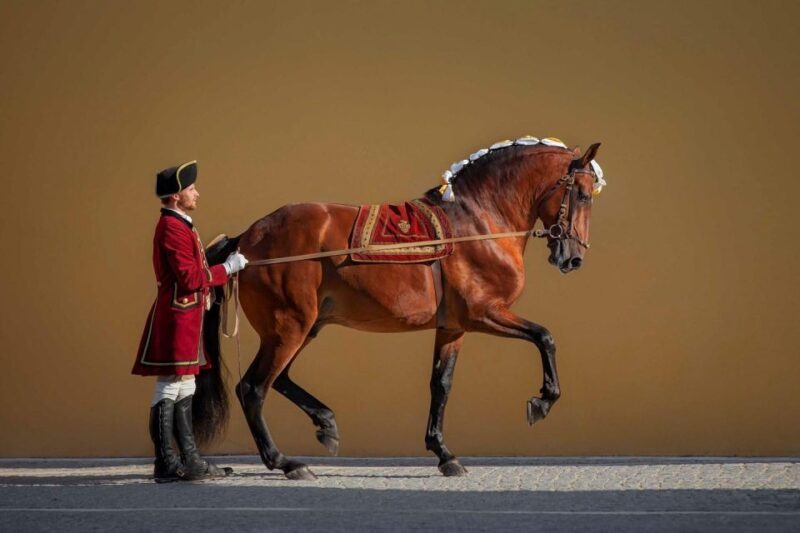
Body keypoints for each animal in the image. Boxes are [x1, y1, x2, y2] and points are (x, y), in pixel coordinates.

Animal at [194, 139, 602, 480]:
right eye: (582, 195)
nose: (574, 258)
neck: (479, 222)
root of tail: (246, 240)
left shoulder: (453, 327)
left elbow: (441, 385)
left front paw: (444, 454)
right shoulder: (484, 313)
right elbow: (545, 337)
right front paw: (542, 401)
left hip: (303, 328)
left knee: (277, 380)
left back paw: (325, 424)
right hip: (288, 328)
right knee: (253, 388)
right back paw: (285, 462)